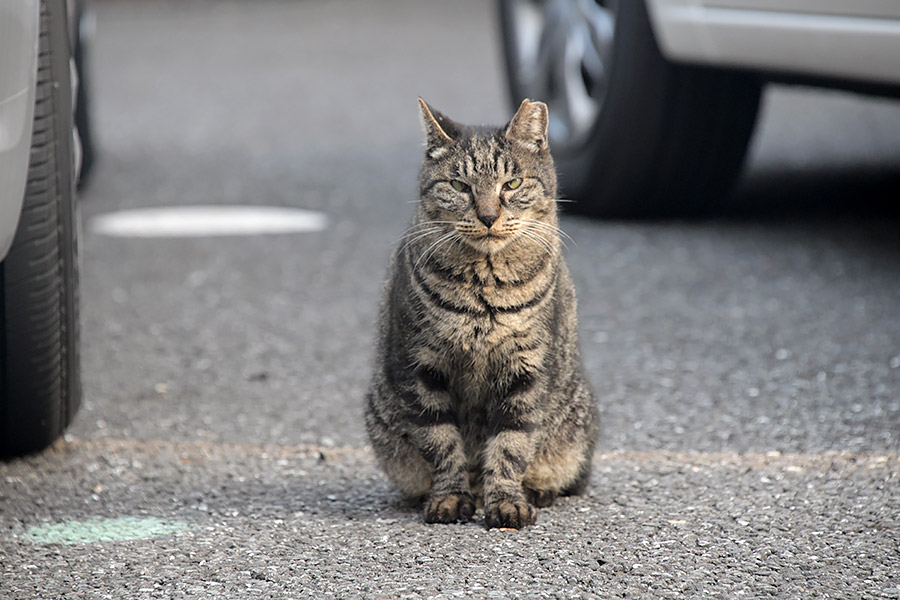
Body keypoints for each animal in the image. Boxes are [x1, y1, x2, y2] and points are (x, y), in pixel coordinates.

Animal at [366, 98, 596, 528]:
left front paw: (506, 501)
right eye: (459, 186)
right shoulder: (422, 365)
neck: (485, 285)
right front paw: (450, 498)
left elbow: (511, 443)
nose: (488, 215)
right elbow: (440, 441)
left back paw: (534, 490)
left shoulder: (526, 369)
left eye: (512, 184)